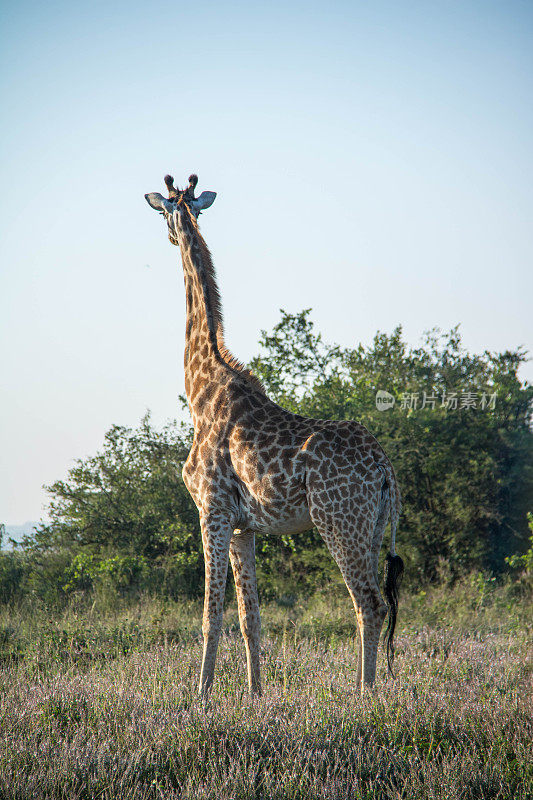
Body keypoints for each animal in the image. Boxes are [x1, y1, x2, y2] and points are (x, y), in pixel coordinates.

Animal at [143, 172, 402, 696]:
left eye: (164, 212)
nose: (168, 234)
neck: (201, 389)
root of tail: (384, 468)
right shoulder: (245, 526)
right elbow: (251, 618)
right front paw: (254, 694)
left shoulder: (212, 510)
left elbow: (210, 615)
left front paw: (200, 698)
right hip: (370, 526)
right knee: (373, 602)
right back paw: (368, 688)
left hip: (338, 521)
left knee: (368, 602)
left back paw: (364, 696)